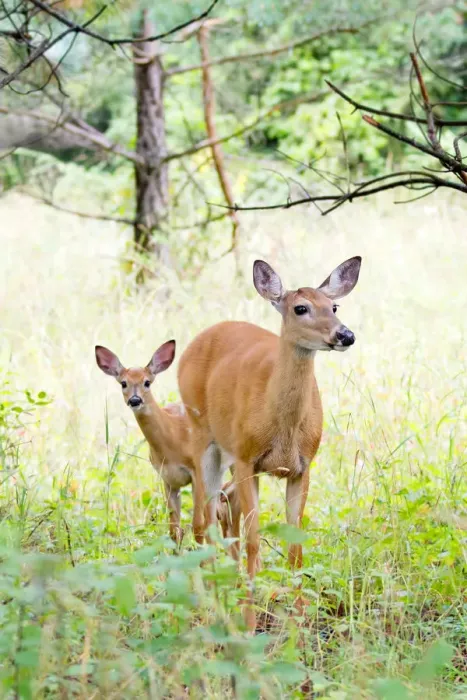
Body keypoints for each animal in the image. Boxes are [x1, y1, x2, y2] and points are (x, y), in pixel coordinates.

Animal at [95, 340, 239, 545]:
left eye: (147, 382)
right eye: (123, 383)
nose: (135, 400)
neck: (174, 439)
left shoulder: (197, 471)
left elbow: (198, 526)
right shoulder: (168, 479)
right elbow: (174, 530)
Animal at [177, 256, 361, 628]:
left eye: (334, 306)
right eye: (301, 307)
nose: (345, 334)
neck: (284, 428)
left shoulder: (302, 467)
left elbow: (295, 545)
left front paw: (301, 620)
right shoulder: (248, 458)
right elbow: (252, 540)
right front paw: (249, 622)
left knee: (223, 507)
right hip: (202, 433)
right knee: (203, 519)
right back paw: (210, 601)